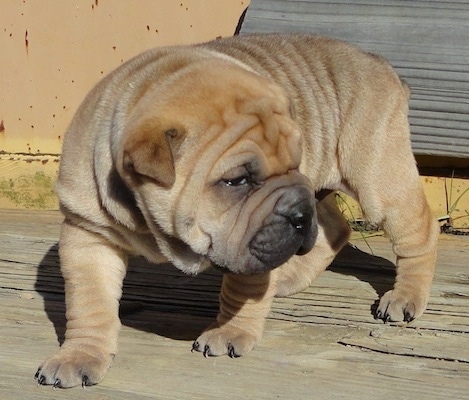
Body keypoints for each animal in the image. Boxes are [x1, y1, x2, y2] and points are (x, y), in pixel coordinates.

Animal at [35, 34, 438, 388]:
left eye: (296, 163)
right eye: (238, 180)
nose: (297, 214)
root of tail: (379, 63)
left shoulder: (253, 245)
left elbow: (243, 288)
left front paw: (229, 330)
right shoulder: (88, 235)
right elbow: (90, 304)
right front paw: (80, 356)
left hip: (378, 179)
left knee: (419, 231)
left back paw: (405, 297)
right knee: (335, 227)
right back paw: (292, 275)